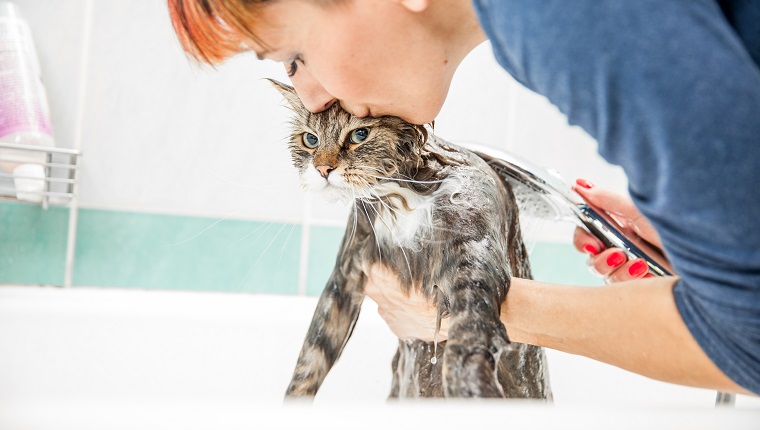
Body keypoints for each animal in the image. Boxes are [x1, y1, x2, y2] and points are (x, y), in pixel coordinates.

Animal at [274, 80, 552, 400]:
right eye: (310, 139)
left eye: (359, 135)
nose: (322, 169)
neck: (400, 196)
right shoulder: (346, 271)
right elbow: (310, 359)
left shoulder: (473, 255)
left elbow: (468, 334)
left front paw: (471, 384)